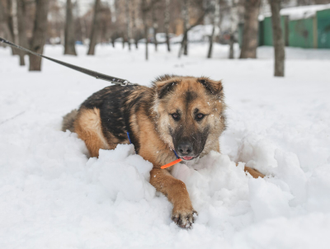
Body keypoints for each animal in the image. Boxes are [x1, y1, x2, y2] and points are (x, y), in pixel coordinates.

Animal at [61, 75, 262, 229]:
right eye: (175, 115)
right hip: (93, 124)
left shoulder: (211, 156)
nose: (184, 148)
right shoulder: (152, 168)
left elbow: (243, 166)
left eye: (199, 116)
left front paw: (263, 176)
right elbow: (178, 183)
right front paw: (184, 210)